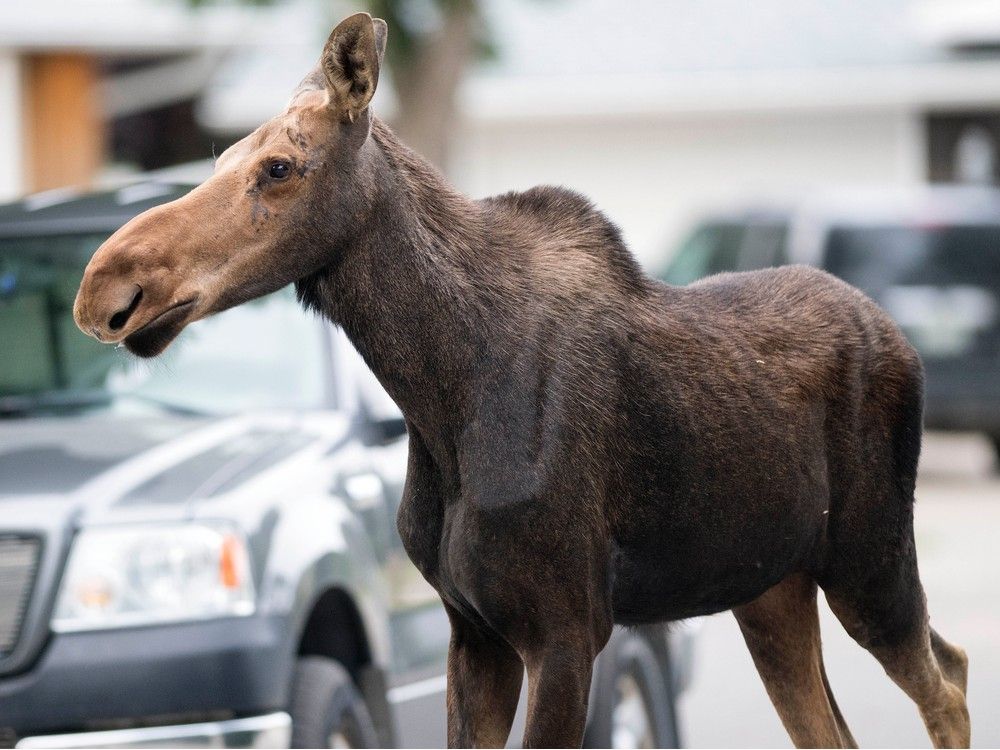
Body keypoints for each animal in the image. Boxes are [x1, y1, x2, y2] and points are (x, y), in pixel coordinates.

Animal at [74, 11, 972, 750]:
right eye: (223, 156)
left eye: (280, 168)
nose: (106, 287)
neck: (439, 399)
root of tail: (900, 339)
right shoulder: (473, 635)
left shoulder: (566, 631)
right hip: (770, 589)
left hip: (870, 560)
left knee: (951, 676)